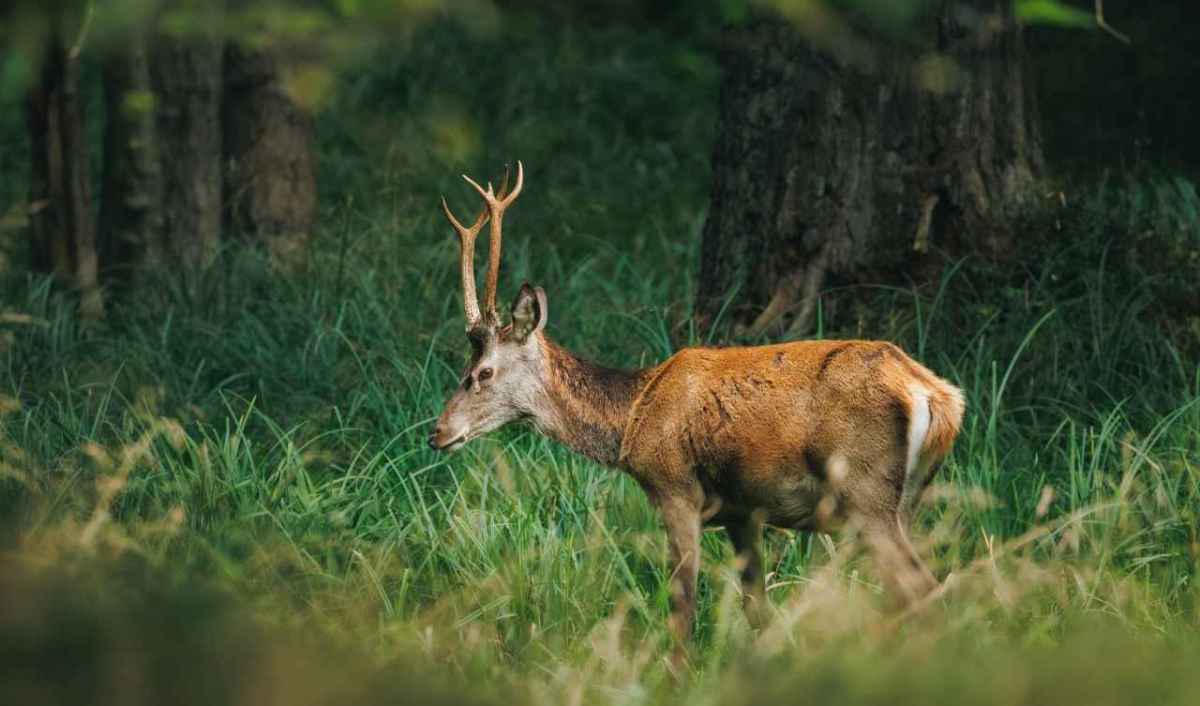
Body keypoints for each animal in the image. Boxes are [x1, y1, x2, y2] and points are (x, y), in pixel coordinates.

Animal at [428, 161, 966, 652]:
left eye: (482, 373)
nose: (437, 433)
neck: (631, 416)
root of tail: (937, 396)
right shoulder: (742, 512)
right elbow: (756, 608)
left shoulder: (676, 489)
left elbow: (682, 608)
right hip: (910, 498)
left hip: (865, 493)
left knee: (926, 592)